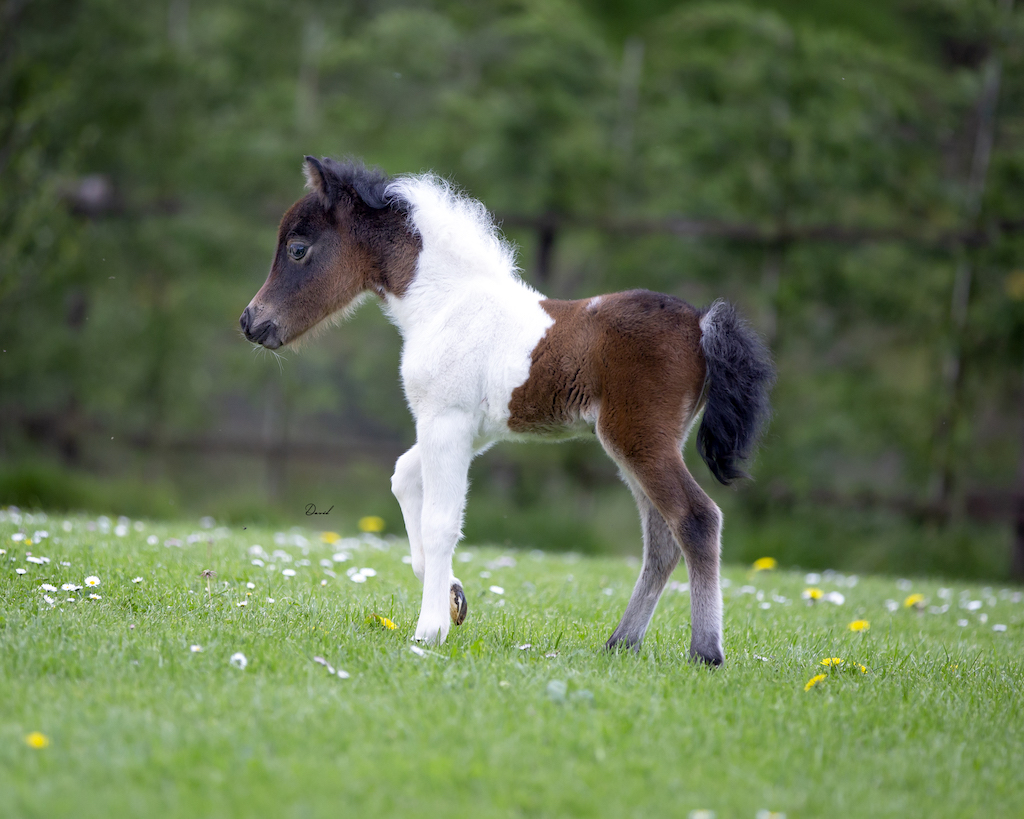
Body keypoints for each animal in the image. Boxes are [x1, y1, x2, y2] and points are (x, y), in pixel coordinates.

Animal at [241, 157, 774, 665]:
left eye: (298, 249)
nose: (251, 322)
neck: (446, 304)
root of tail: (701, 323)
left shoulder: (446, 421)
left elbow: (440, 521)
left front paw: (429, 631)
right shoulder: (473, 430)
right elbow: (404, 479)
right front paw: (454, 597)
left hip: (639, 439)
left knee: (696, 519)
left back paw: (705, 651)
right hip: (640, 443)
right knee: (661, 538)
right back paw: (621, 643)